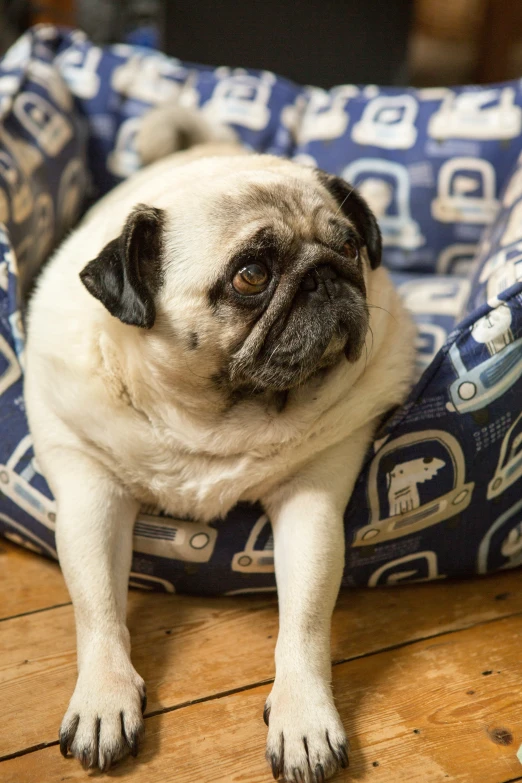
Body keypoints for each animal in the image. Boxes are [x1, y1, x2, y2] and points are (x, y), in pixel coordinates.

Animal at [24, 105, 414, 783]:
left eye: (347, 246)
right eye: (251, 276)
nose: (326, 273)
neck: (215, 417)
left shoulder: (311, 504)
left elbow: (305, 619)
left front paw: (303, 715)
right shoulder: (89, 496)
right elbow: (97, 607)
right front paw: (103, 696)